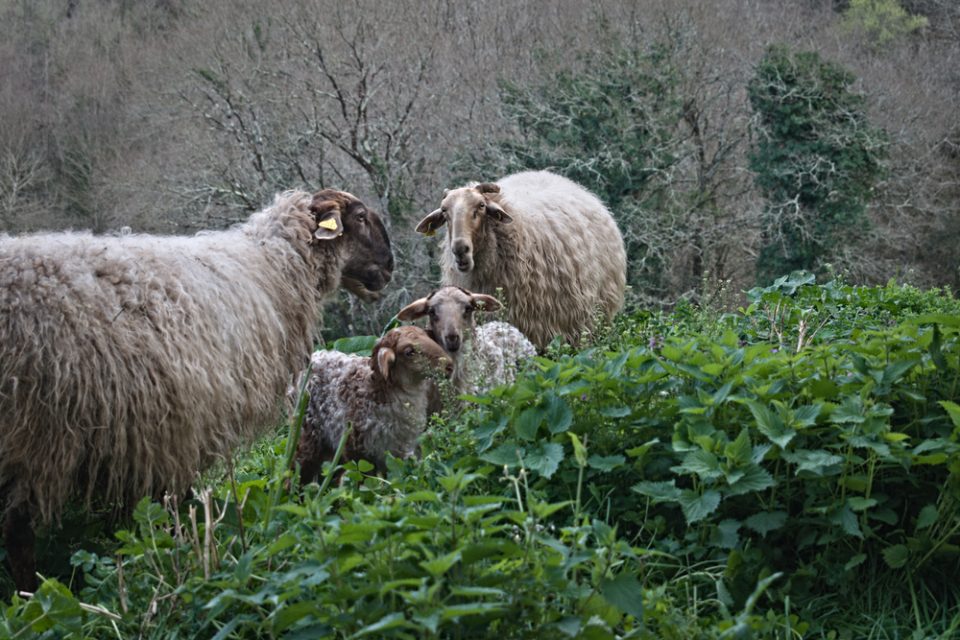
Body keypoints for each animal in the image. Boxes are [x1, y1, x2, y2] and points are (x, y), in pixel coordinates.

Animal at [0, 188, 394, 591]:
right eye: (361, 217)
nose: (390, 267)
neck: (271, 267)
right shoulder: (182, 423)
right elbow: (174, 501)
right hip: (33, 432)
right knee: (17, 532)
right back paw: (32, 593)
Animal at [295, 326, 452, 485]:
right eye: (409, 352)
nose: (449, 366)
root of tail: (317, 355)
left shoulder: (399, 453)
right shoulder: (356, 449)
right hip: (310, 435)